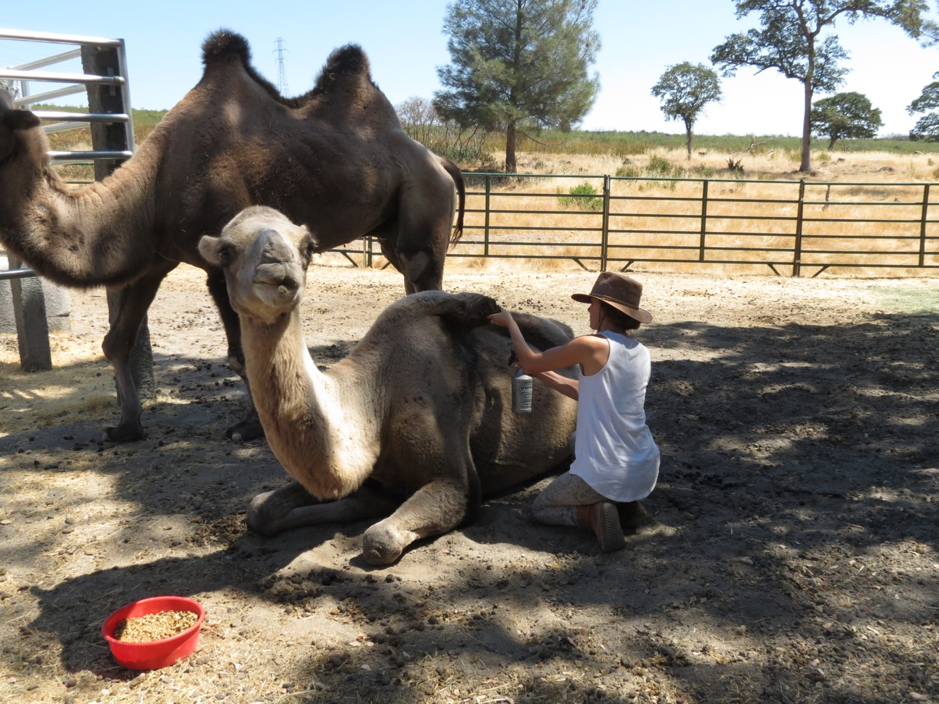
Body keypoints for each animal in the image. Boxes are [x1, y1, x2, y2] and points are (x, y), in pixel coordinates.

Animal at [0, 31, 466, 446]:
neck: (152, 187)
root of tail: (441, 160)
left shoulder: (220, 263)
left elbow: (241, 353)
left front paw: (250, 429)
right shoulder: (155, 260)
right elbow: (117, 340)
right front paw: (126, 427)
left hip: (424, 203)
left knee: (424, 274)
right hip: (391, 229)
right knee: (411, 284)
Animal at [199, 206, 580, 564]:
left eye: (307, 246)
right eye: (226, 252)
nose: (278, 270)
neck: (373, 398)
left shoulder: (458, 481)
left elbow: (378, 540)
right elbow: (259, 509)